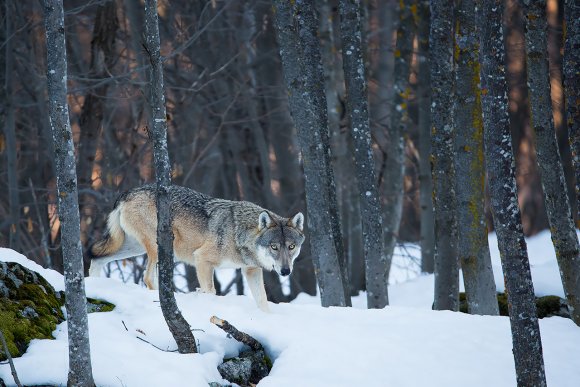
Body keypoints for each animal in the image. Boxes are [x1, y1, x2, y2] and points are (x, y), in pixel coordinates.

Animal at [88, 184, 306, 312]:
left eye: (291, 246)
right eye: (274, 247)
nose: (285, 271)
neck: (238, 234)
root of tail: (128, 192)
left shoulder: (251, 270)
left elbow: (263, 302)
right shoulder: (202, 259)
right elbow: (211, 291)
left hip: (134, 249)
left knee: (97, 258)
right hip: (158, 248)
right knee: (148, 278)